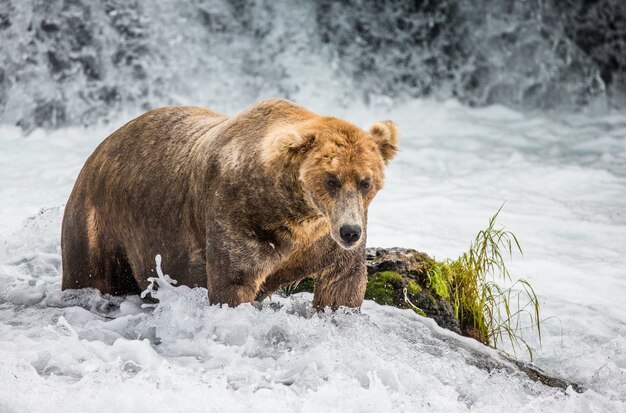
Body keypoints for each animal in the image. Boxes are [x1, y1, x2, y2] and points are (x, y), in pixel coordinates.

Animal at [61, 98, 398, 308]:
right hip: (98, 221)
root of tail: (101, 146)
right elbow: (233, 283)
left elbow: (342, 283)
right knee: (88, 273)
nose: (349, 232)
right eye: (331, 179)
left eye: (366, 182)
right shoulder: (237, 215)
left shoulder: (323, 238)